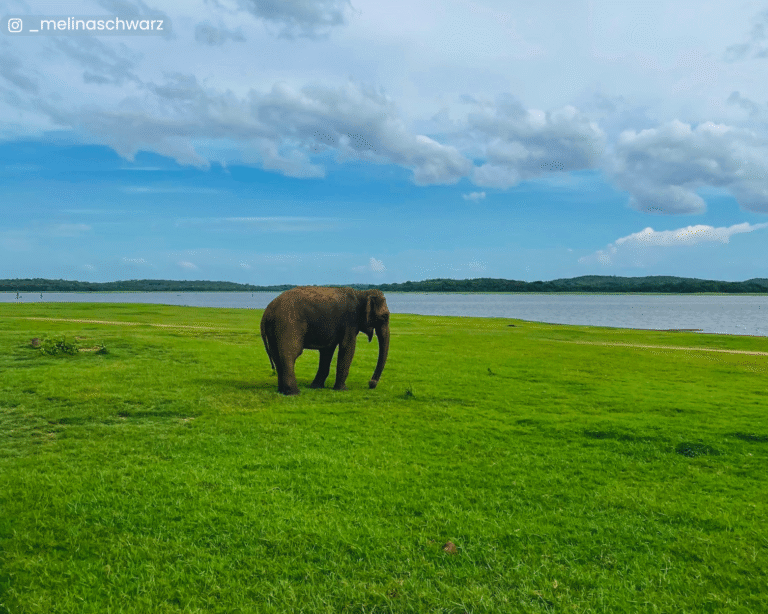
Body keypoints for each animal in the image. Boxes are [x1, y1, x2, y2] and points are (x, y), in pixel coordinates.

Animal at [260, 287, 390, 395]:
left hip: (274, 328)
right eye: (385, 317)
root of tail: (267, 311)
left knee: (276, 355)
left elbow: (327, 351)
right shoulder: (350, 322)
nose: (371, 384)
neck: (362, 293)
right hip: (288, 323)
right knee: (290, 353)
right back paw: (294, 393)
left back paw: (282, 391)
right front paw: (343, 390)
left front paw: (316, 387)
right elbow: (347, 347)